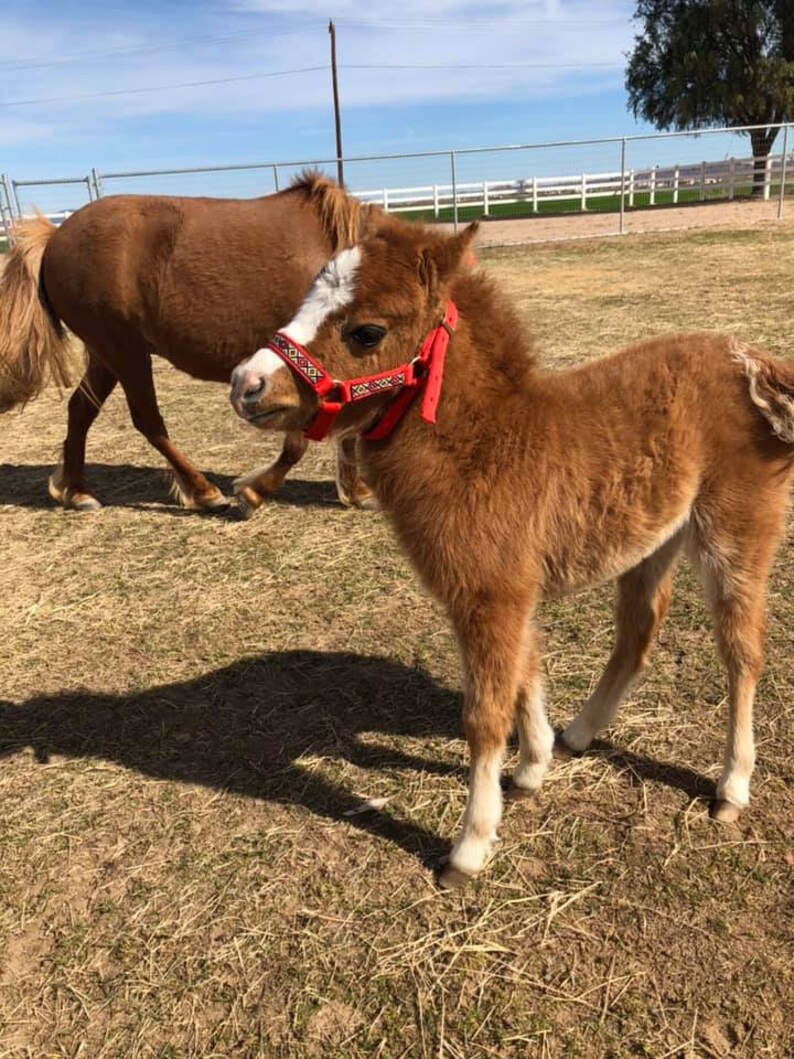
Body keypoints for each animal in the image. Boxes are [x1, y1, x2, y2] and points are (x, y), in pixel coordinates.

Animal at [0, 172, 382, 515]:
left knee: (81, 409)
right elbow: (298, 444)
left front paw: (357, 491)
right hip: (125, 352)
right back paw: (203, 492)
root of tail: (55, 237)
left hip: (105, 356)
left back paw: (77, 491)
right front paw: (253, 493)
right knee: (148, 421)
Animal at [229, 220, 794, 888]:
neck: (484, 445)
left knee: (742, 651)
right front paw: (533, 767)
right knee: (638, 632)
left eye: (366, 331)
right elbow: (526, 668)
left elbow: (485, 715)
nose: (246, 383)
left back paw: (731, 788)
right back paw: (580, 734)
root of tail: (756, 362)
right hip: (655, 537)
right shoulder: (505, 591)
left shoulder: (491, 595)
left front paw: (470, 846)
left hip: (737, 530)